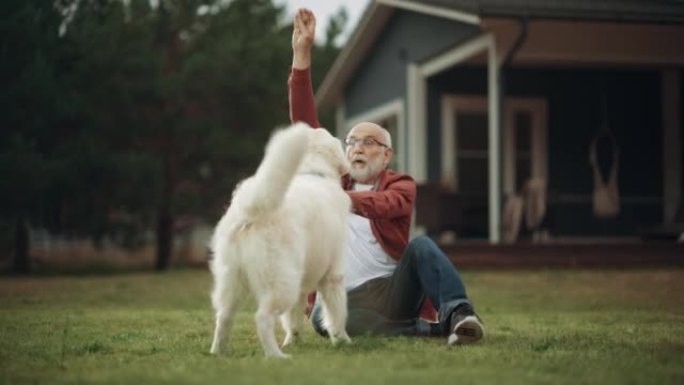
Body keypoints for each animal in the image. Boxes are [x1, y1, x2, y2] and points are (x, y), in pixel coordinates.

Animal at [210, 122, 352, 356]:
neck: (315, 172)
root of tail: (252, 210)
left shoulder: (303, 286)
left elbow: (294, 318)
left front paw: (294, 340)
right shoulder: (333, 275)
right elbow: (336, 312)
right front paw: (343, 341)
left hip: (232, 280)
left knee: (224, 317)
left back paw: (218, 352)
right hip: (281, 282)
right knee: (262, 318)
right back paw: (277, 356)